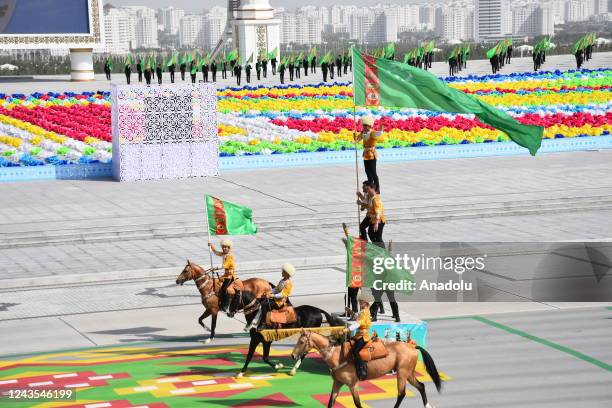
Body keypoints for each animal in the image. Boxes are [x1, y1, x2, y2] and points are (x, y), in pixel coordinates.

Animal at [292, 332, 440, 408]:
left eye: (301, 342)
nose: (293, 355)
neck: (337, 356)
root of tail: (412, 346)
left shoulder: (352, 384)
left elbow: (357, 403)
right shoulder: (337, 383)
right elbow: (330, 402)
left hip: (402, 374)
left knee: (401, 393)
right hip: (408, 373)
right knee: (421, 386)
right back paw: (427, 405)